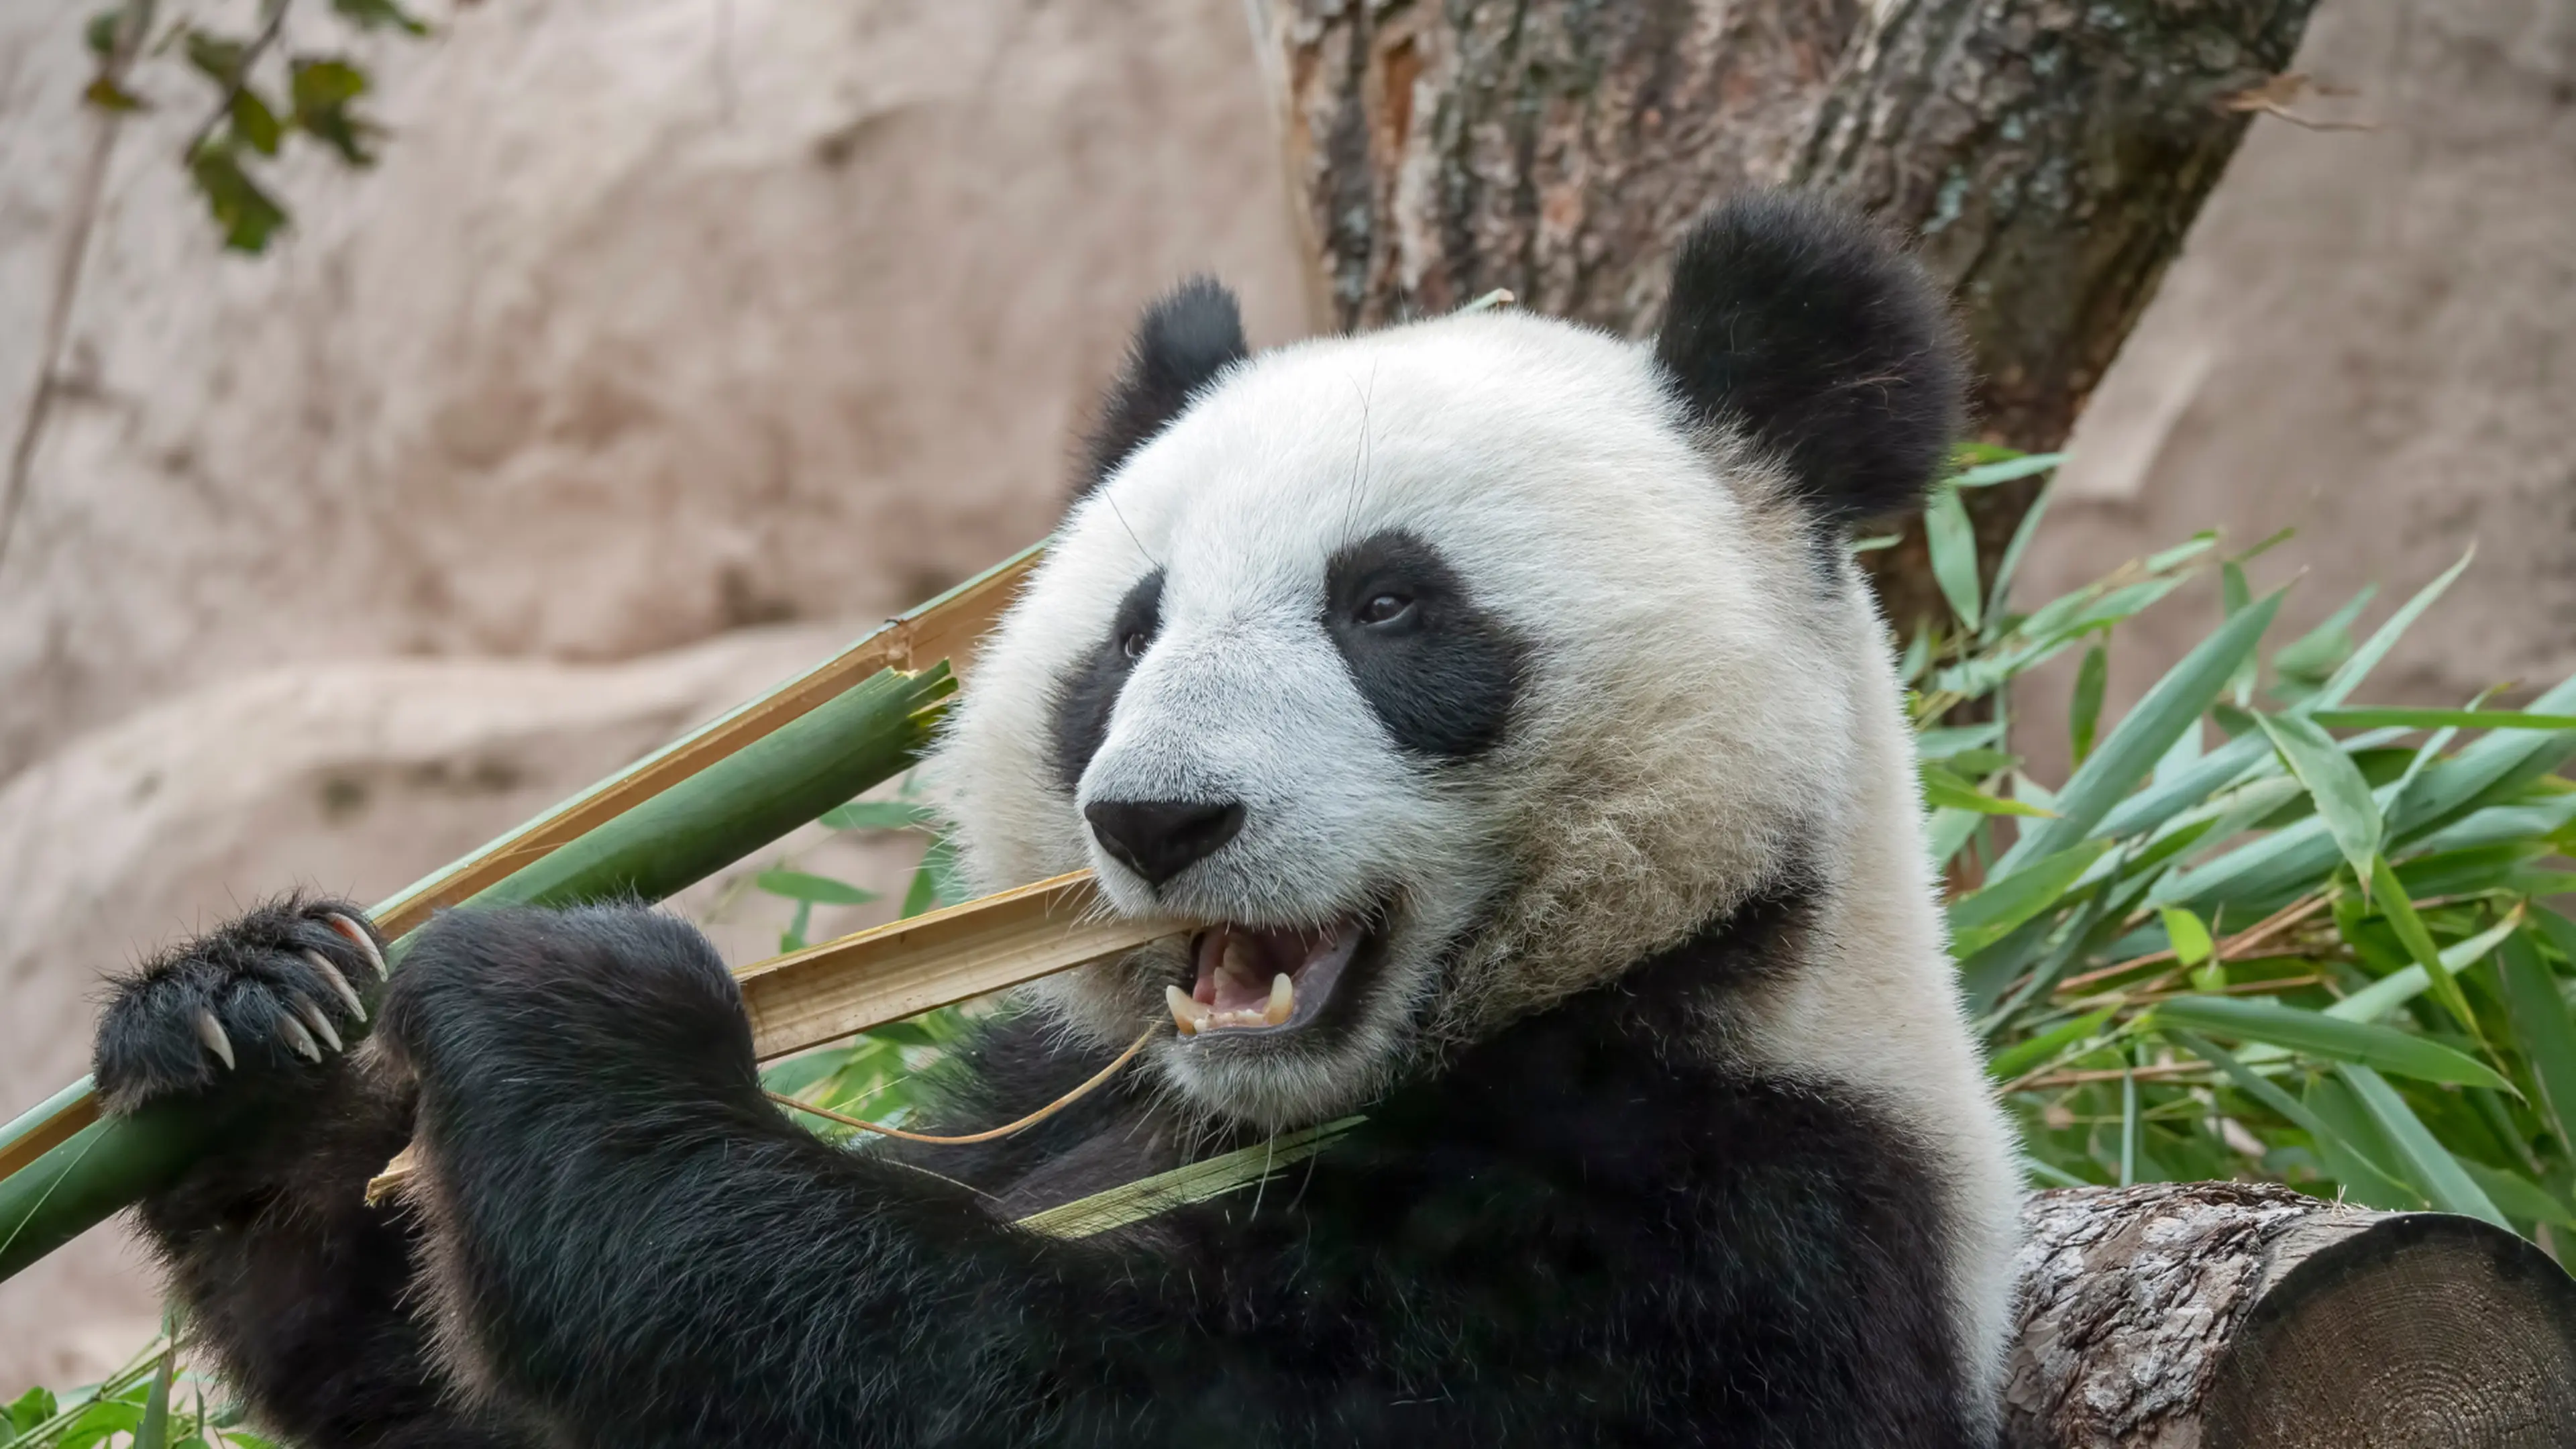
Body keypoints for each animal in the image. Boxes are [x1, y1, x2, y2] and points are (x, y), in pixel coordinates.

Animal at [91, 192, 2029, 1444]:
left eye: (1389, 607)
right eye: (1130, 630)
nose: (1161, 819)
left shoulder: (1728, 1230)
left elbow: (1090, 1391)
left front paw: (573, 1024)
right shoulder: (1041, 1092)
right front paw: (257, 1019)